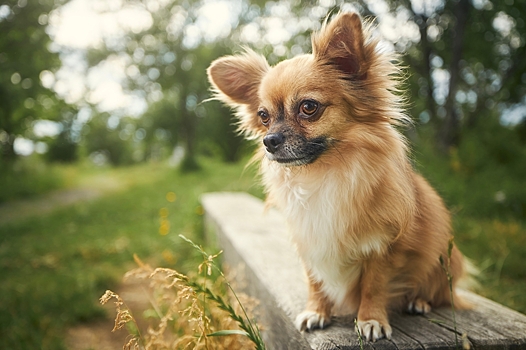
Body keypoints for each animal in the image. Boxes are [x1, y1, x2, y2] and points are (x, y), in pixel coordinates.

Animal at [206, 11, 470, 342]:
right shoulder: (309, 240)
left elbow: (374, 286)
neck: (324, 172)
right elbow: (315, 280)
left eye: (308, 107)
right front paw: (317, 311)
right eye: (264, 117)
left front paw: (370, 319)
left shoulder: (385, 248)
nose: (269, 140)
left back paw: (419, 301)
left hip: (443, 260)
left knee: (440, 292)